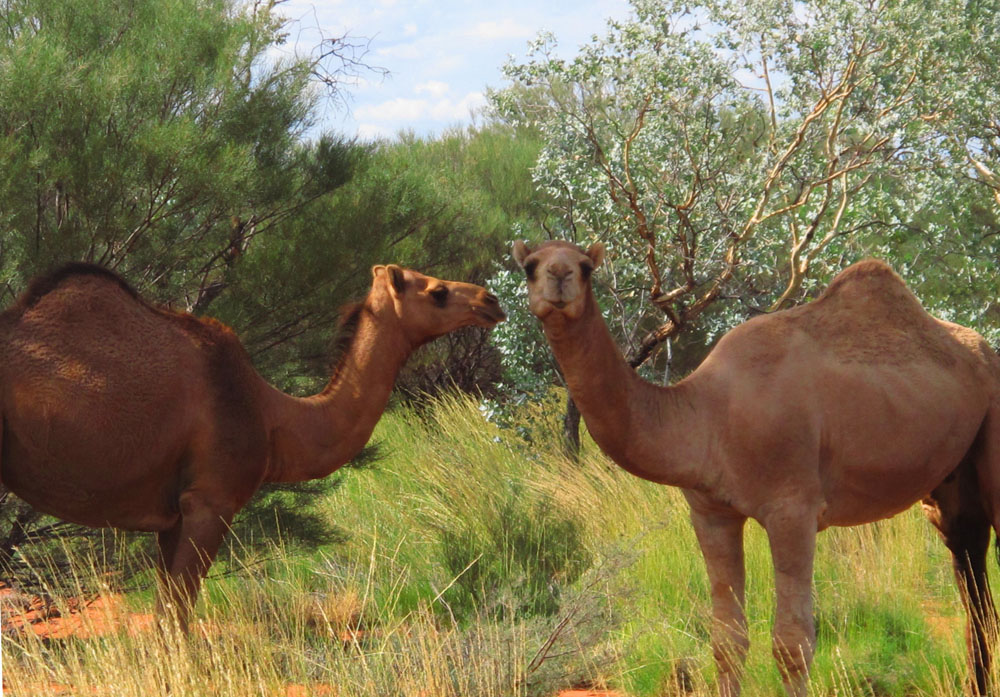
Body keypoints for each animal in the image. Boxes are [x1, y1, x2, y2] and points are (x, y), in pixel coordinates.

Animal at [0, 260, 500, 632]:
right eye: (437, 291)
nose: (490, 300)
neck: (271, 414)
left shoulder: (172, 516)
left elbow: (165, 616)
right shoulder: (211, 501)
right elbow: (178, 619)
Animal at [516, 241, 1000, 696]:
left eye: (585, 266)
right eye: (529, 264)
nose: (559, 278)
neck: (709, 413)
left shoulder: (793, 510)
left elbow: (792, 643)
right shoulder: (711, 511)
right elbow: (726, 641)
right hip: (948, 483)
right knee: (970, 569)